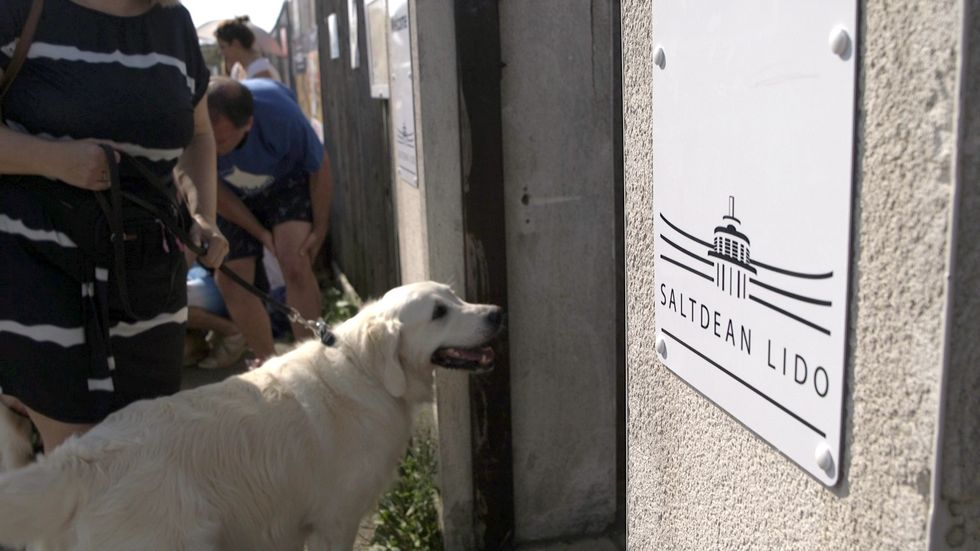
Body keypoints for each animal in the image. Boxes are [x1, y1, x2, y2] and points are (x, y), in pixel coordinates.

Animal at [0, 282, 502, 548]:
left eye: (456, 297)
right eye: (438, 313)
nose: (496, 312)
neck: (368, 373)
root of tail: (80, 459)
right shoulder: (336, 520)